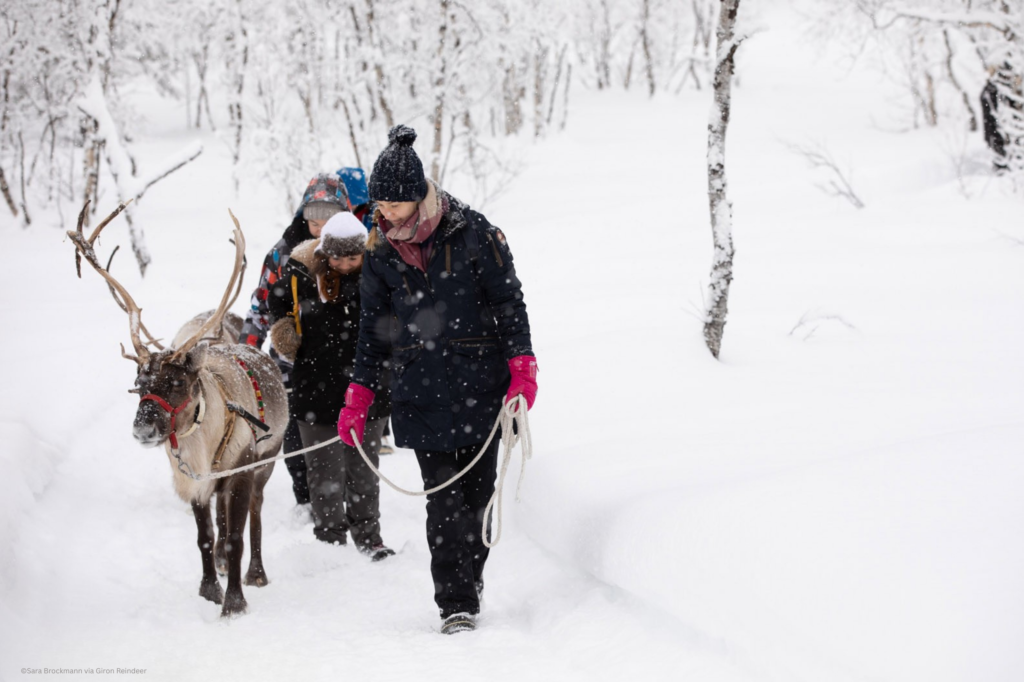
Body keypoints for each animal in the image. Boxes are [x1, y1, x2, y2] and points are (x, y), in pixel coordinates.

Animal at [68, 201, 289, 617]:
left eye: (177, 383)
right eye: (139, 385)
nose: (142, 430)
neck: (202, 443)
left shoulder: (240, 470)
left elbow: (235, 536)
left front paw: (234, 603)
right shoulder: (195, 483)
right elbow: (205, 536)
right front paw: (209, 588)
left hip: (267, 460)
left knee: (256, 511)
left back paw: (257, 572)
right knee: (222, 521)